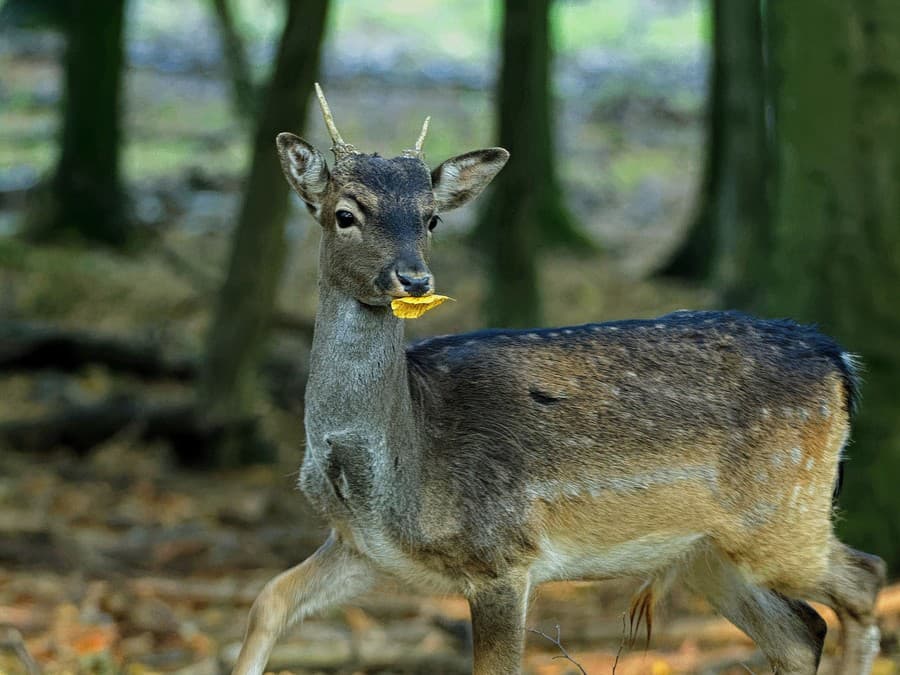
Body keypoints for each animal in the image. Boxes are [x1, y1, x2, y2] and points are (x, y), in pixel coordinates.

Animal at [232, 86, 884, 675]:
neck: (396, 475)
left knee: (864, 578)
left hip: (784, 509)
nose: (413, 279)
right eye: (345, 214)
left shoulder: (501, 554)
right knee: (801, 632)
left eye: (431, 218)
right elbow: (268, 601)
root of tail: (840, 360)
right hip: (710, 549)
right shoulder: (363, 548)